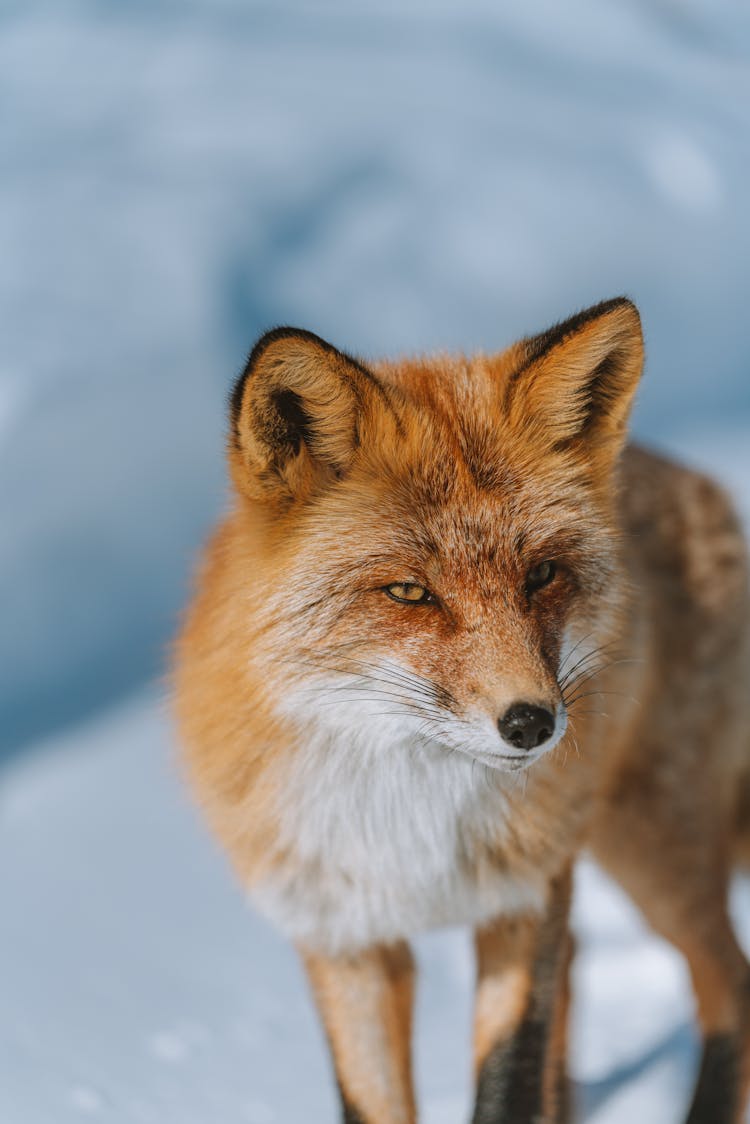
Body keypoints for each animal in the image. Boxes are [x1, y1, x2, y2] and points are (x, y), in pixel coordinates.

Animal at [173, 301, 750, 1124]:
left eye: (542, 574)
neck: (408, 811)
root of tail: (684, 472)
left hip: (651, 845)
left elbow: (509, 1080)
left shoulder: (522, 895)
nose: (533, 723)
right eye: (410, 592)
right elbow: (373, 1102)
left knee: (729, 980)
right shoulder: (341, 934)